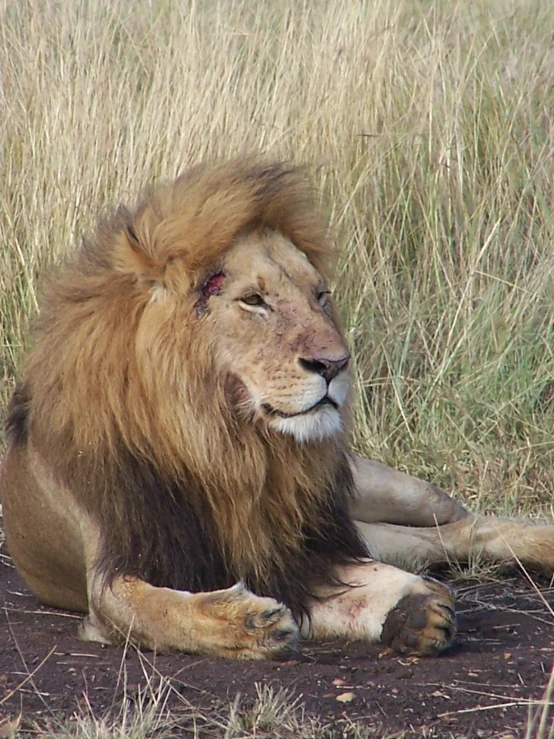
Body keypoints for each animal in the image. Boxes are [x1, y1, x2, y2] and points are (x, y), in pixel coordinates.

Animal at [1, 160, 552, 660]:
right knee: (435, 541)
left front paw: (412, 606)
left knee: (460, 523)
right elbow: (158, 612)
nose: (336, 364)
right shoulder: (113, 572)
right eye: (253, 300)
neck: (223, 445)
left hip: (397, 492)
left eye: (320, 295)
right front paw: (246, 623)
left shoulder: (292, 545)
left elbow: (351, 581)